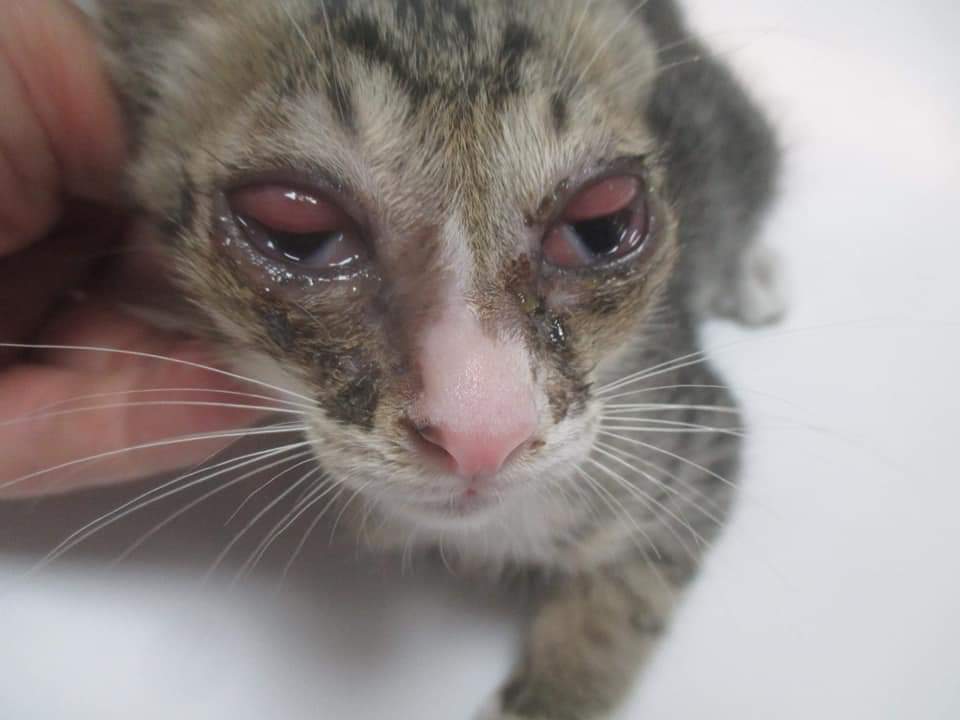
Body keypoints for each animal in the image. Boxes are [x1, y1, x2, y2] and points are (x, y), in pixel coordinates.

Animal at [82, 0, 783, 717]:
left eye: (601, 225)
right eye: (297, 233)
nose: (483, 432)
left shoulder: (694, 436)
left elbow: (625, 599)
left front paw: (552, 687)